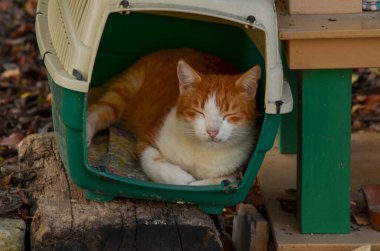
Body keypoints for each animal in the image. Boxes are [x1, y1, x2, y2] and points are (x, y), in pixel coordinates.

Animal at [86, 48, 260, 186]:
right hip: (125, 91)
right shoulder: (147, 140)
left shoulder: (236, 172)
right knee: (99, 109)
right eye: (199, 112)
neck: (201, 150)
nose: (212, 131)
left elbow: (217, 182)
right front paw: (182, 179)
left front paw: (195, 185)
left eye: (229, 115)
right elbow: (154, 162)